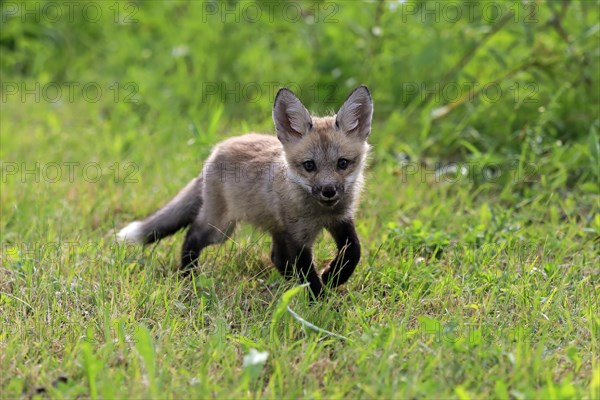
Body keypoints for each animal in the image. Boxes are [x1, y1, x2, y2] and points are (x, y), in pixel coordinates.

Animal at [116, 85, 370, 296]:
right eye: (309, 165)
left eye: (342, 163)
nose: (329, 191)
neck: (321, 213)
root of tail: (217, 150)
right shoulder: (298, 237)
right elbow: (308, 274)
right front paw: (320, 303)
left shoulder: (341, 220)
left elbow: (354, 252)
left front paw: (334, 276)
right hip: (221, 229)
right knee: (192, 235)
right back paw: (189, 275)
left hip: (271, 227)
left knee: (276, 257)